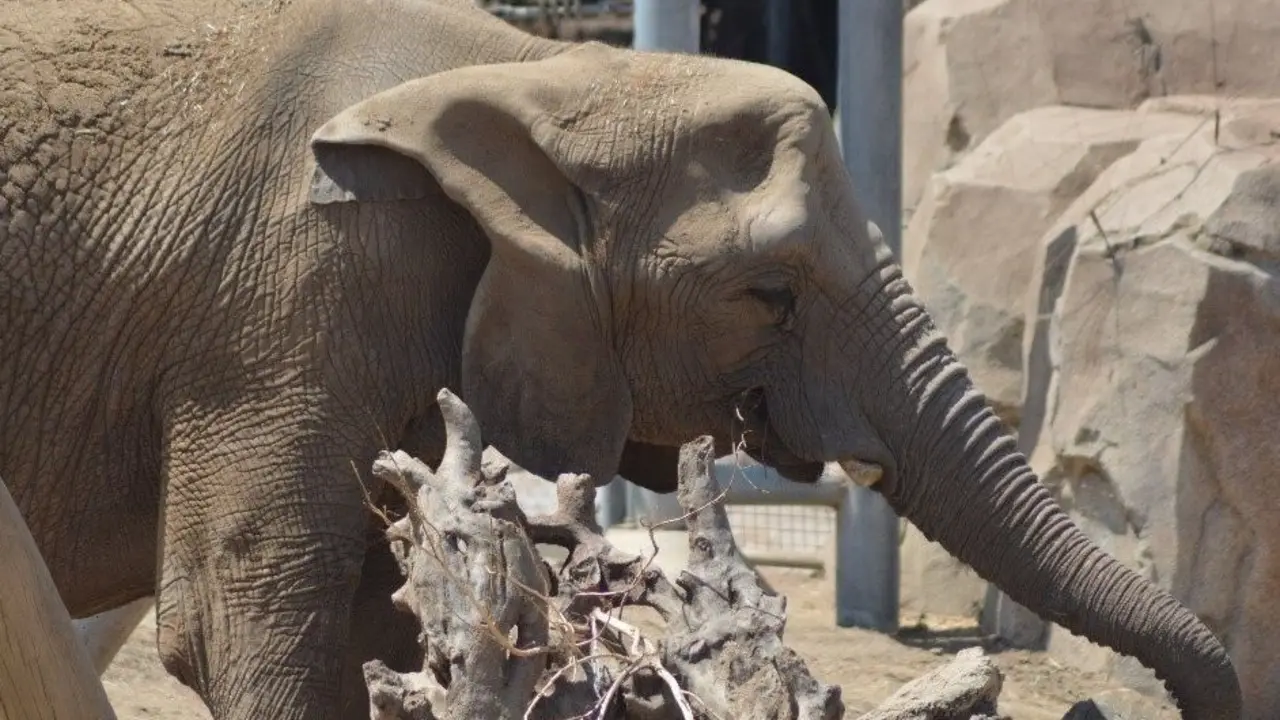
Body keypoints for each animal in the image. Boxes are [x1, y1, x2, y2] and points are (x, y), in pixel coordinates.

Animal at [0, 0, 1241, 719]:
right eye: (767, 293)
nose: (1091, 707)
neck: (538, 75)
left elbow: (386, 626)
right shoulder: (281, 300)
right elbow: (250, 633)